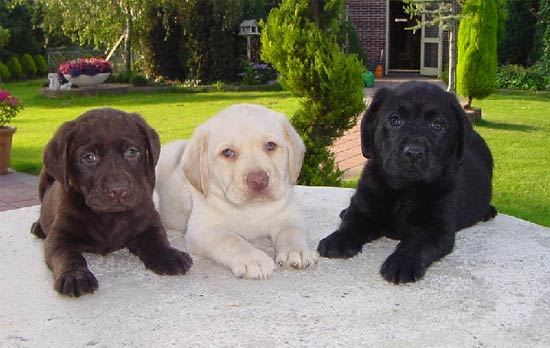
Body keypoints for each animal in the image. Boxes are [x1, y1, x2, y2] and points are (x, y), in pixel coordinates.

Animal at [31, 108, 194, 296]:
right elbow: (68, 256)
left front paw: (168, 255)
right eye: (89, 157)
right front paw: (75, 275)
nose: (118, 191)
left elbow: (157, 240)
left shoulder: (149, 223)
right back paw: (38, 226)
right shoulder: (58, 238)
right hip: (44, 175)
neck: (109, 217)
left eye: (132, 152)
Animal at [155, 104, 320, 278]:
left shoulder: (291, 215)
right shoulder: (202, 230)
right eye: (227, 152)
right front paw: (254, 259)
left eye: (270, 145)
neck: (251, 208)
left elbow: (292, 231)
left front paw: (297, 251)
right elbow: (231, 239)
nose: (258, 180)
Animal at [316, 83, 498, 284]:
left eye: (437, 125)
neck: (404, 190)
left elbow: (416, 244)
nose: (414, 152)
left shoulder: (434, 228)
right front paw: (338, 239)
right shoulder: (364, 205)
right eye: (395, 120)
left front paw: (402, 262)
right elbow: (351, 222)